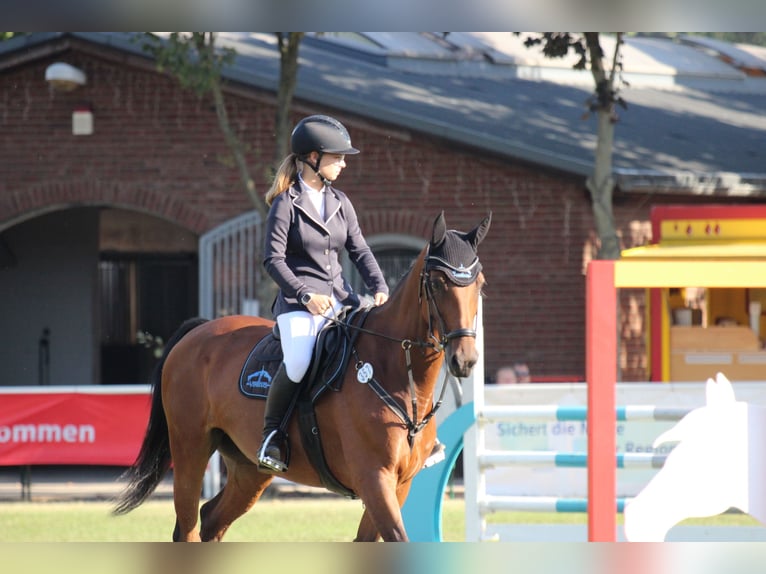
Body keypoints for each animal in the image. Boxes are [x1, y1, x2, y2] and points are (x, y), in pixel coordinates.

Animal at [112, 209, 492, 544]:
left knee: (211, 521)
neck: (394, 373)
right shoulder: (374, 479)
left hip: (249, 470)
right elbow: (398, 537)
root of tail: (198, 331)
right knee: (189, 527)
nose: (465, 359)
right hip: (191, 448)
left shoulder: (399, 484)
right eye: (438, 283)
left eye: (480, 283)